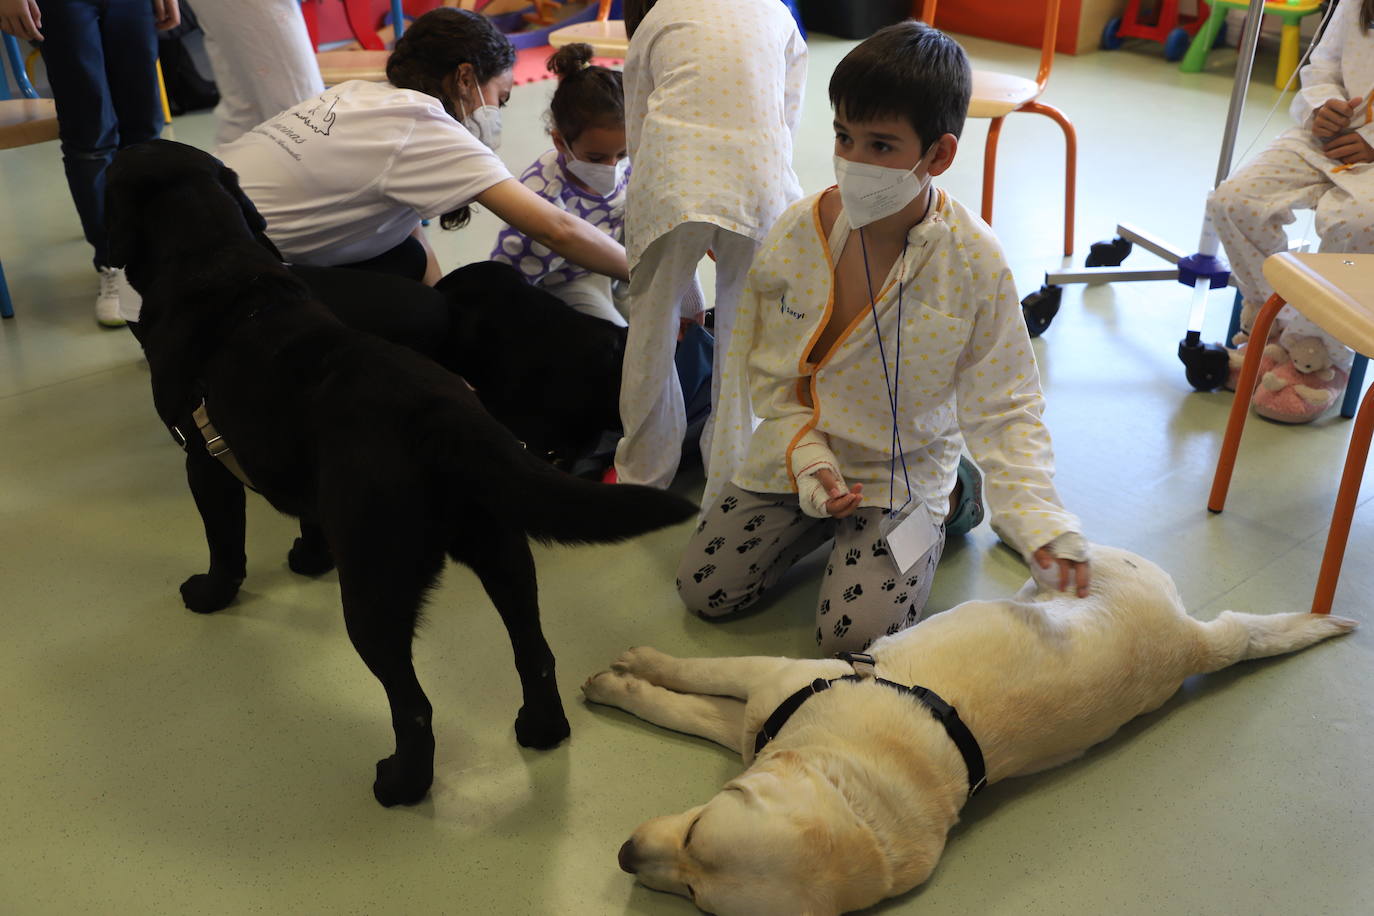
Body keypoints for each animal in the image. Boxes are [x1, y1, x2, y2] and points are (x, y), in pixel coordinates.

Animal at [104, 138, 697, 807]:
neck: (216, 259)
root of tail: (443, 418)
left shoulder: (202, 457)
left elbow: (224, 544)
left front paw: (211, 593)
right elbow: (307, 517)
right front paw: (308, 557)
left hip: (375, 589)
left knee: (413, 705)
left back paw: (402, 782)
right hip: (503, 551)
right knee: (535, 654)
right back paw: (541, 729)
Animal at [577, 549, 1352, 911]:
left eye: (696, 891)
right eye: (696, 828)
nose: (621, 856)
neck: (859, 793)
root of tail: (1192, 643)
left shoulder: (775, 687)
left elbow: (687, 694)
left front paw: (622, 678)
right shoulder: (769, 698)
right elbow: (694, 690)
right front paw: (636, 672)